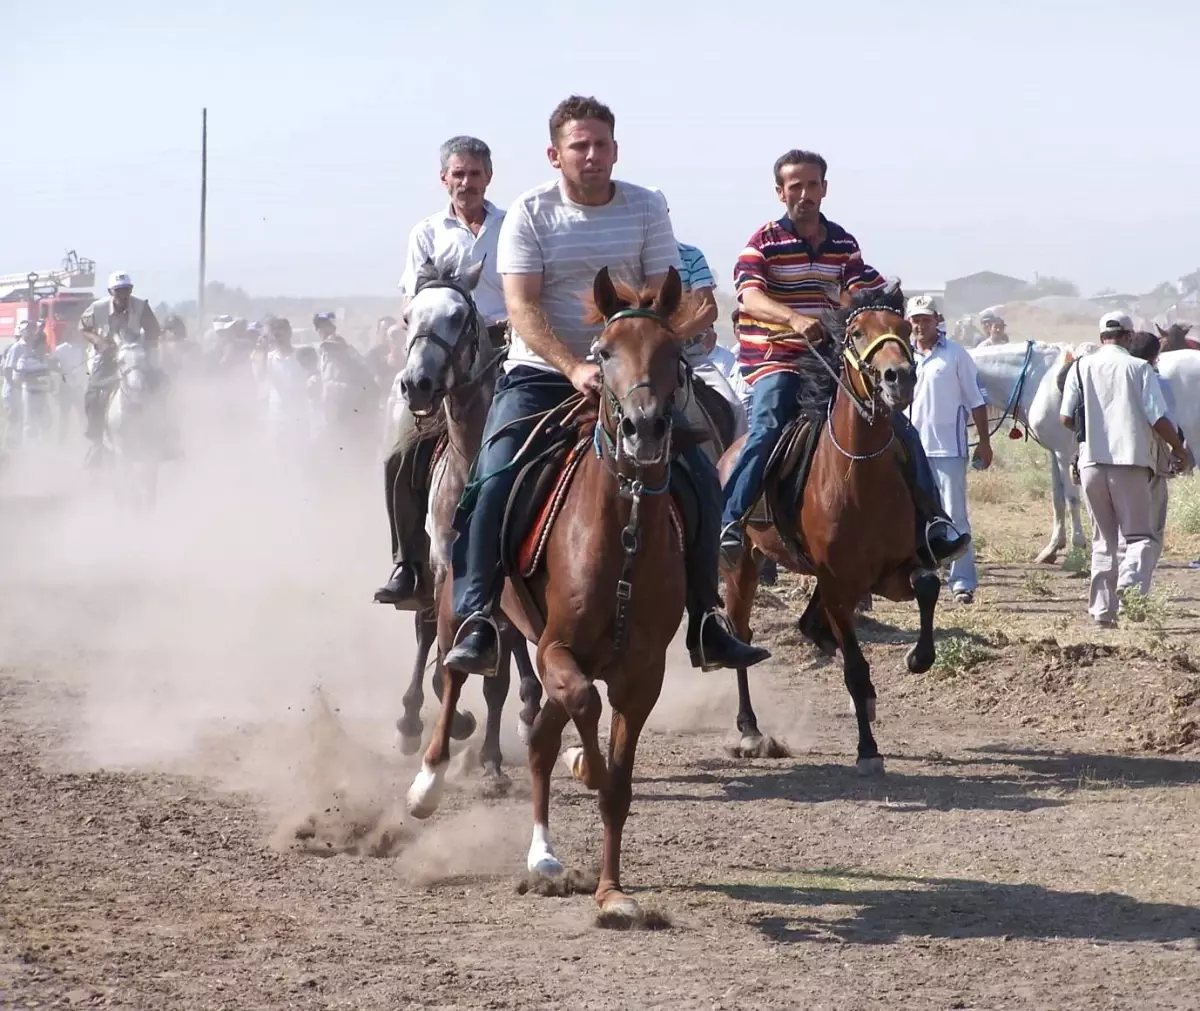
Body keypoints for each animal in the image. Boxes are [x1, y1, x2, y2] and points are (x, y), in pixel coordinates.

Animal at [410, 265, 696, 922]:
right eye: (603, 353)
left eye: (674, 353)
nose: (645, 428)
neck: (624, 534)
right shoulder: (556, 647)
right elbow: (580, 709)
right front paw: (584, 764)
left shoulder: (642, 674)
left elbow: (616, 781)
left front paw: (612, 892)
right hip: (455, 602)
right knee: (452, 674)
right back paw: (430, 783)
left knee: (538, 731)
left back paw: (543, 853)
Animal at [715, 283, 940, 773]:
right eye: (856, 333)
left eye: (903, 328)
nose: (898, 379)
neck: (859, 474)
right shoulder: (839, 583)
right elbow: (854, 665)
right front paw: (868, 750)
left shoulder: (890, 570)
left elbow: (929, 586)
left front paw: (917, 658)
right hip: (742, 567)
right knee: (741, 635)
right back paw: (750, 730)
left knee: (809, 625)